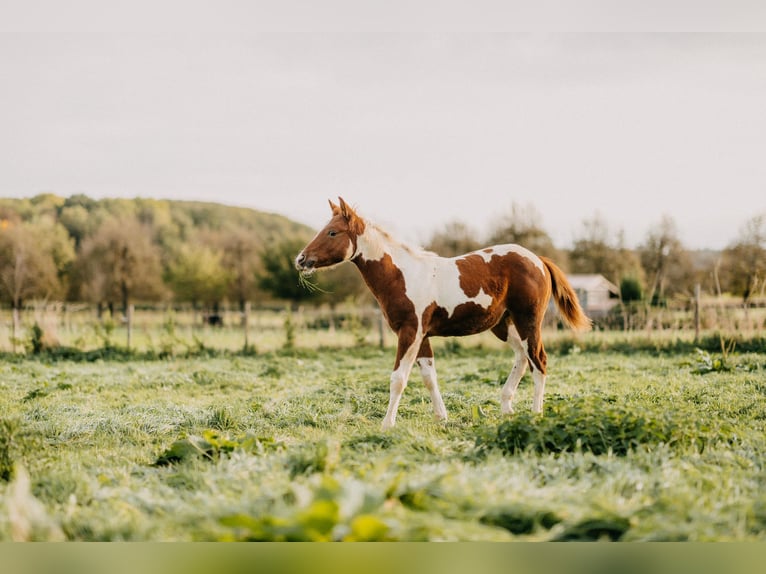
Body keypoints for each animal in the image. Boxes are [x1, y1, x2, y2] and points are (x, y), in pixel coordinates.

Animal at [295, 197, 591, 430]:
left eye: (332, 232)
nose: (301, 259)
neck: (403, 275)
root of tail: (539, 260)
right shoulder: (422, 335)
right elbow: (429, 376)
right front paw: (441, 417)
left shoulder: (410, 332)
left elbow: (398, 379)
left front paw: (387, 424)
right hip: (504, 325)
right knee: (521, 357)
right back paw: (507, 407)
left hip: (528, 321)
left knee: (538, 360)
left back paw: (535, 413)